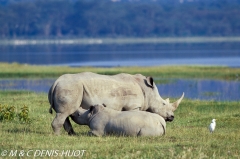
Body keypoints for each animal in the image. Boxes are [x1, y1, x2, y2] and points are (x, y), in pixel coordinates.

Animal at [48, 72, 184, 135]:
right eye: (163, 104)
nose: (172, 117)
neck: (147, 92)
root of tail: (55, 82)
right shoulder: (134, 106)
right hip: (70, 88)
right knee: (64, 113)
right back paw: (58, 136)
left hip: (66, 87)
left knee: (64, 113)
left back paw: (72, 134)